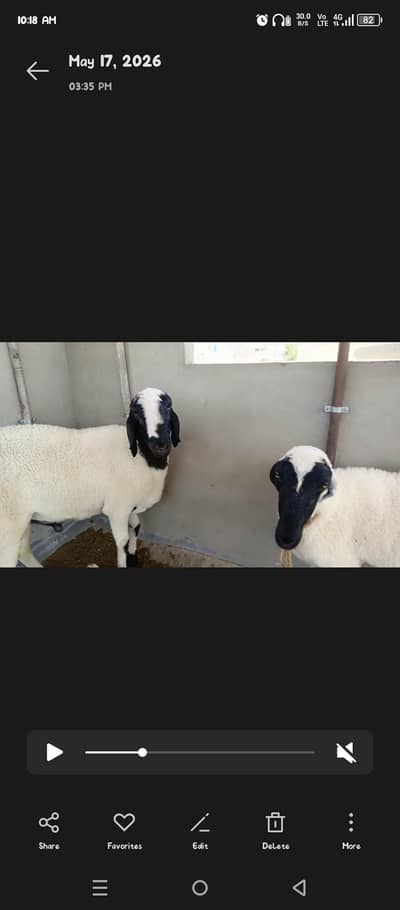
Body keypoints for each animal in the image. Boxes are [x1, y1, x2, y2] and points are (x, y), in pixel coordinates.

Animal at [0, 388, 181, 568]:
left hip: (22, 520)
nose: (160, 444)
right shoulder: (117, 507)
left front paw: (133, 558)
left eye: (168, 406)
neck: (141, 458)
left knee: (23, 552)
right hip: (8, 527)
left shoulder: (128, 505)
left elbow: (136, 527)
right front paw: (125, 561)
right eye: (136, 413)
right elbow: (122, 540)